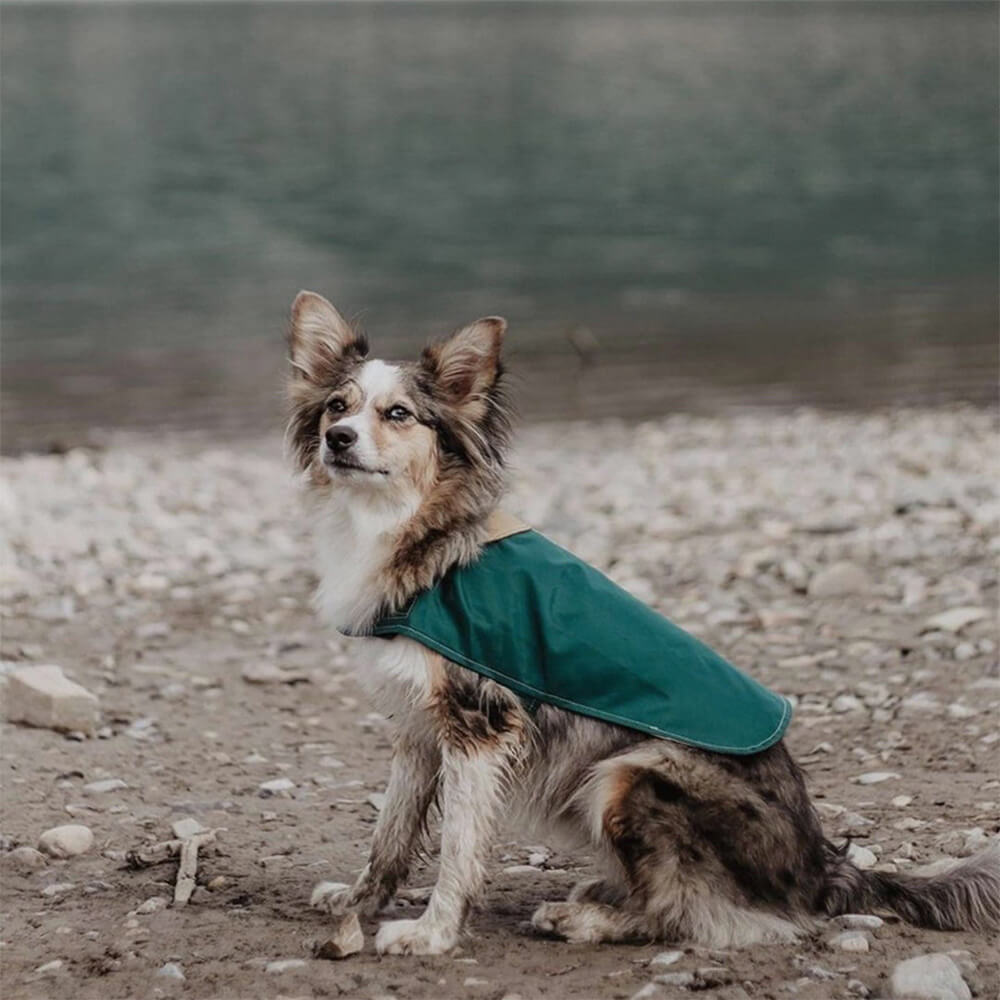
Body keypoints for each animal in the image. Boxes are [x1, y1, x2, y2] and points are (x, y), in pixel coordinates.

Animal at [284, 290, 1000, 952]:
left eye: (398, 414)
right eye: (337, 406)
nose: (337, 440)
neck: (416, 529)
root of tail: (822, 869)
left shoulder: (477, 726)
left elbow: (459, 845)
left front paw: (432, 934)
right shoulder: (417, 725)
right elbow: (391, 834)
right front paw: (359, 900)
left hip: (630, 774)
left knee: (700, 915)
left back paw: (590, 918)